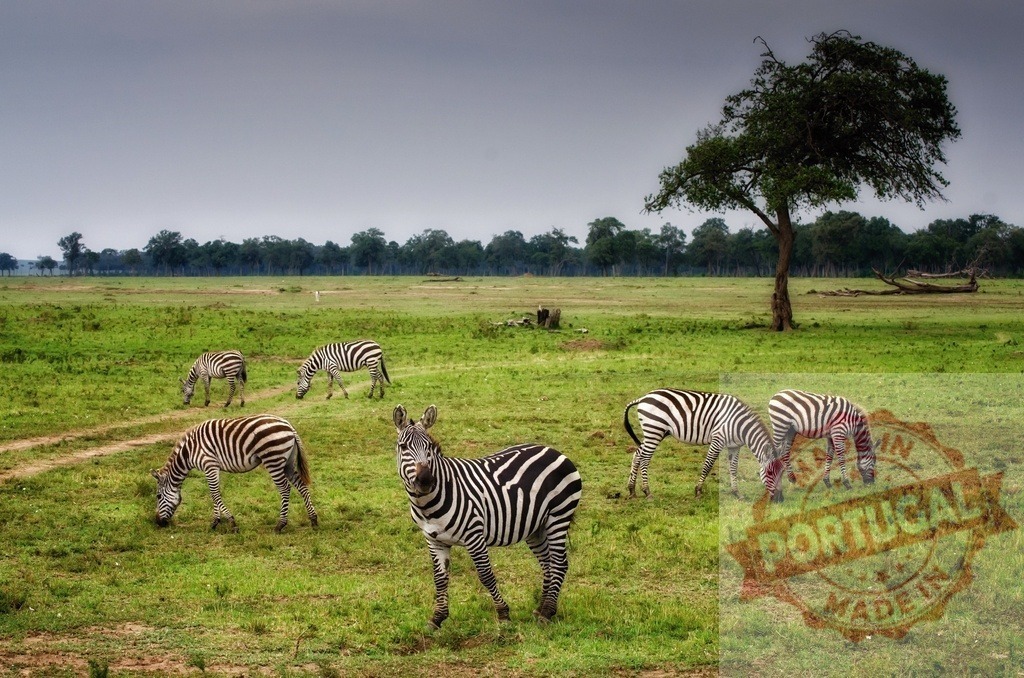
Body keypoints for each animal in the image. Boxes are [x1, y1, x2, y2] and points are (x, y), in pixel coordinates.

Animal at [151, 414, 318, 533]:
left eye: (158, 496)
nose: (158, 522)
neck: (188, 452)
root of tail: (289, 427)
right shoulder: (212, 468)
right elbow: (214, 493)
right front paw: (215, 522)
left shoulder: (209, 464)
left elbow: (214, 493)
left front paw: (231, 522)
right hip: (287, 463)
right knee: (301, 486)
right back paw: (313, 520)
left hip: (273, 460)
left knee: (285, 489)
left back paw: (280, 525)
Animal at [393, 404, 582, 629]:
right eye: (403, 447)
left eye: (429, 446)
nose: (425, 480)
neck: (428, 506)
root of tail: (555, 452)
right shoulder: (434, 540)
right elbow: (440, 578)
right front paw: (437, 617)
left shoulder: (474, 535)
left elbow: (486, 575)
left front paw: (503, 613)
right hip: (537, 526)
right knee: (547, 563)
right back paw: (541, 608)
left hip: (558, 516)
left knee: (560, 563)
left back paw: (546, 612)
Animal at [623, 389, 784, 502]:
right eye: (770, 473)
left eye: (782, 473)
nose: (780, 500)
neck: (740, 425)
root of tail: (644, 397)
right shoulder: (718, 439)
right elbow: (708, 465)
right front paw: (698, 490)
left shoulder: (734, 446)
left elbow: (733, 469)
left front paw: (737, 493)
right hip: (654, 430)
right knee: (645, 458)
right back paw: (647, 491)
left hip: (656, 432)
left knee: (637, 454)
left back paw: (632, 490)